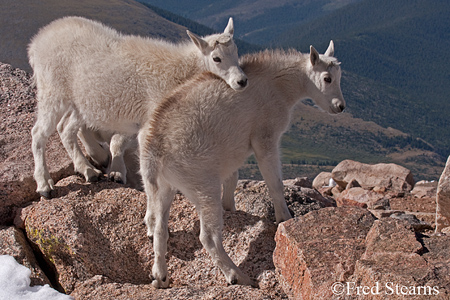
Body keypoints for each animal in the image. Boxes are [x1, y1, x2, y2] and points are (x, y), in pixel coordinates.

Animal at [28, 16, 248, 197]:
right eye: (216, 58)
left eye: (236, 51)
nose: (242, 81)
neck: (181, 73)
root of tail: (37, 42)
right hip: (52, 92)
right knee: (39, 133)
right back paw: (45, 185)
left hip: (80, 103)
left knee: (66, 128)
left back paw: (89, 169)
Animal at [139, 41, 346, 288]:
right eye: (327, 78)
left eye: (339, 76)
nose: (340, 106)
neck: (280, 86)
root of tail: (154, 150)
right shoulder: (265, 138)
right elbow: (274, 183)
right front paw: (285, 218)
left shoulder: (231, 154)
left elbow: (233, 180)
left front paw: (232, 208)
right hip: (203, 185)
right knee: (208, 237)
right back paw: (237, 275)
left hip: (164, 187)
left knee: (159, 228)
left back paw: (160, 276)